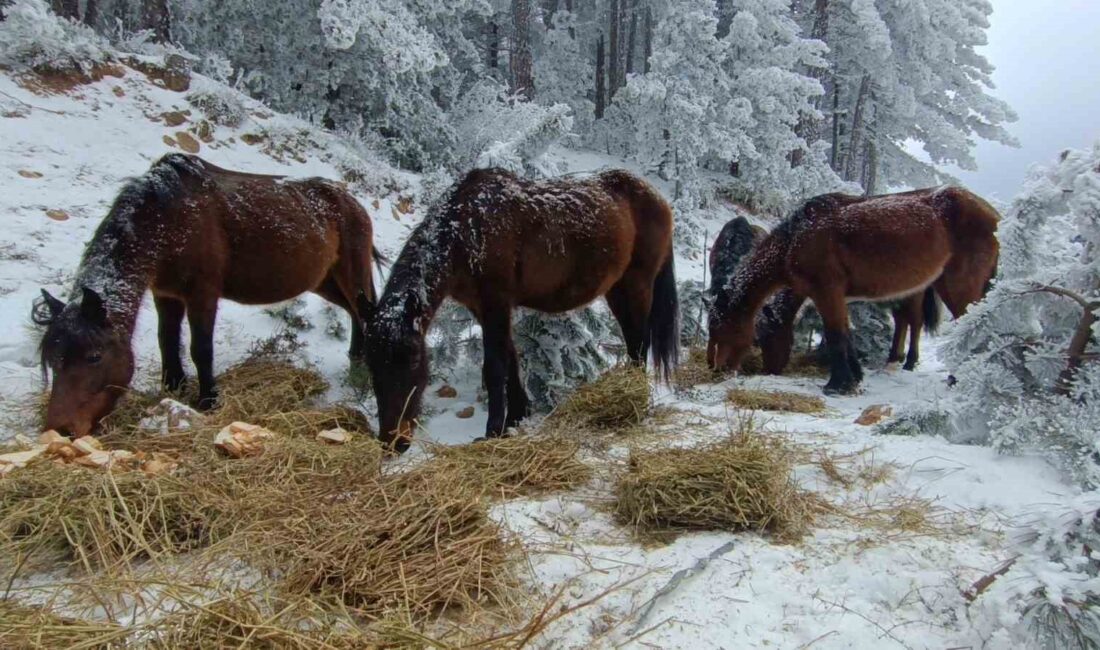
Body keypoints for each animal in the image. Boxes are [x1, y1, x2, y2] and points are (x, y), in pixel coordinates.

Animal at [33, 153, 382, 437]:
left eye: (94, 356)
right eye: (53, 360)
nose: (60, 429)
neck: (167, 219)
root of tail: (353, 203)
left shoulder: (202, 295)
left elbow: (200, 349)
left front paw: (208, 400)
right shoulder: (166, 295)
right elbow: (167, 342)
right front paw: (173, 387)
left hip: (350, 273)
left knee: (364, 312)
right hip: (323, 280)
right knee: (353, 313)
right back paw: (356, 358)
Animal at [360, 168, 677, 453]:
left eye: (414, 362)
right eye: (372, 366)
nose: (393, 442)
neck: (467, 227)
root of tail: (658, 199)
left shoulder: (496, 304)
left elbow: (494, 367)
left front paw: (493, 431)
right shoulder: (483, 308)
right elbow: (510, 359)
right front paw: (516, 417)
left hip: (636, 285)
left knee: (639, 342)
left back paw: (635, 400)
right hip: (617, 289)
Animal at [708, 185, 1003, 393]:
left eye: (722, 328)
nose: (716, 369)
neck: (796, 238)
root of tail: (993, 214)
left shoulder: (826, 291)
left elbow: (836, 336)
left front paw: (837, 386)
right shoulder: (837, 297)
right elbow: (846, 335)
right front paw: (856, 378)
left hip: (956, 288)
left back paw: (953, 378)